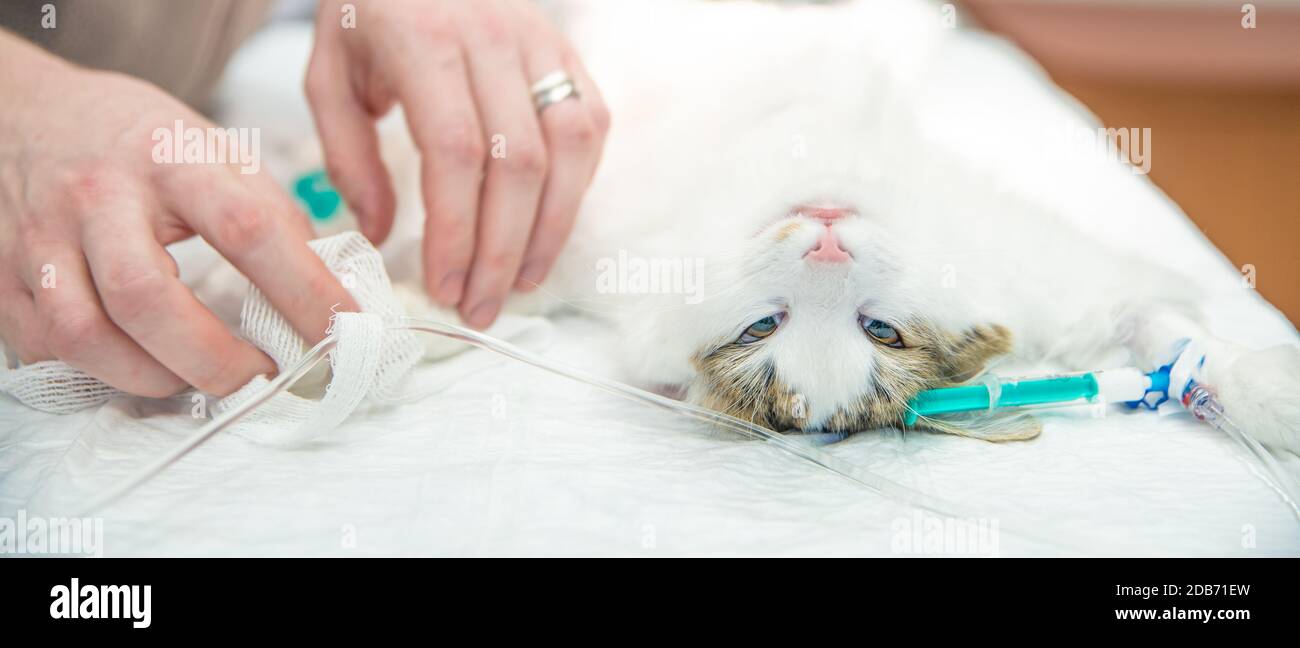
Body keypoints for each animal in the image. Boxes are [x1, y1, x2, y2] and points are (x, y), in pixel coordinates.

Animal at [371, 1, 1294, 450]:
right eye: (762, 328)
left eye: (880, 332)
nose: (825, 246)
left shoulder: (1059, 285)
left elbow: (1181, 349)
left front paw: (1253, 390)